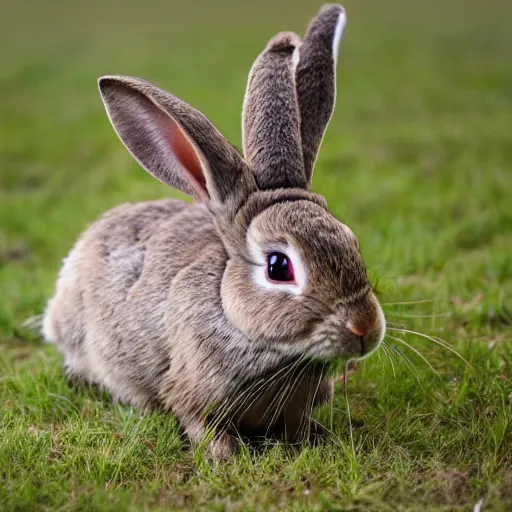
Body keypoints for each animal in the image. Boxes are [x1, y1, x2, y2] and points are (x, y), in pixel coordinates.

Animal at [43, 3, 384, 460]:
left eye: (351, 240)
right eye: (279, 267)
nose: (364, 329)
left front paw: (314, 438)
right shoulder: (190, 392)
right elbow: (200, 425)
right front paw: (224, 458)